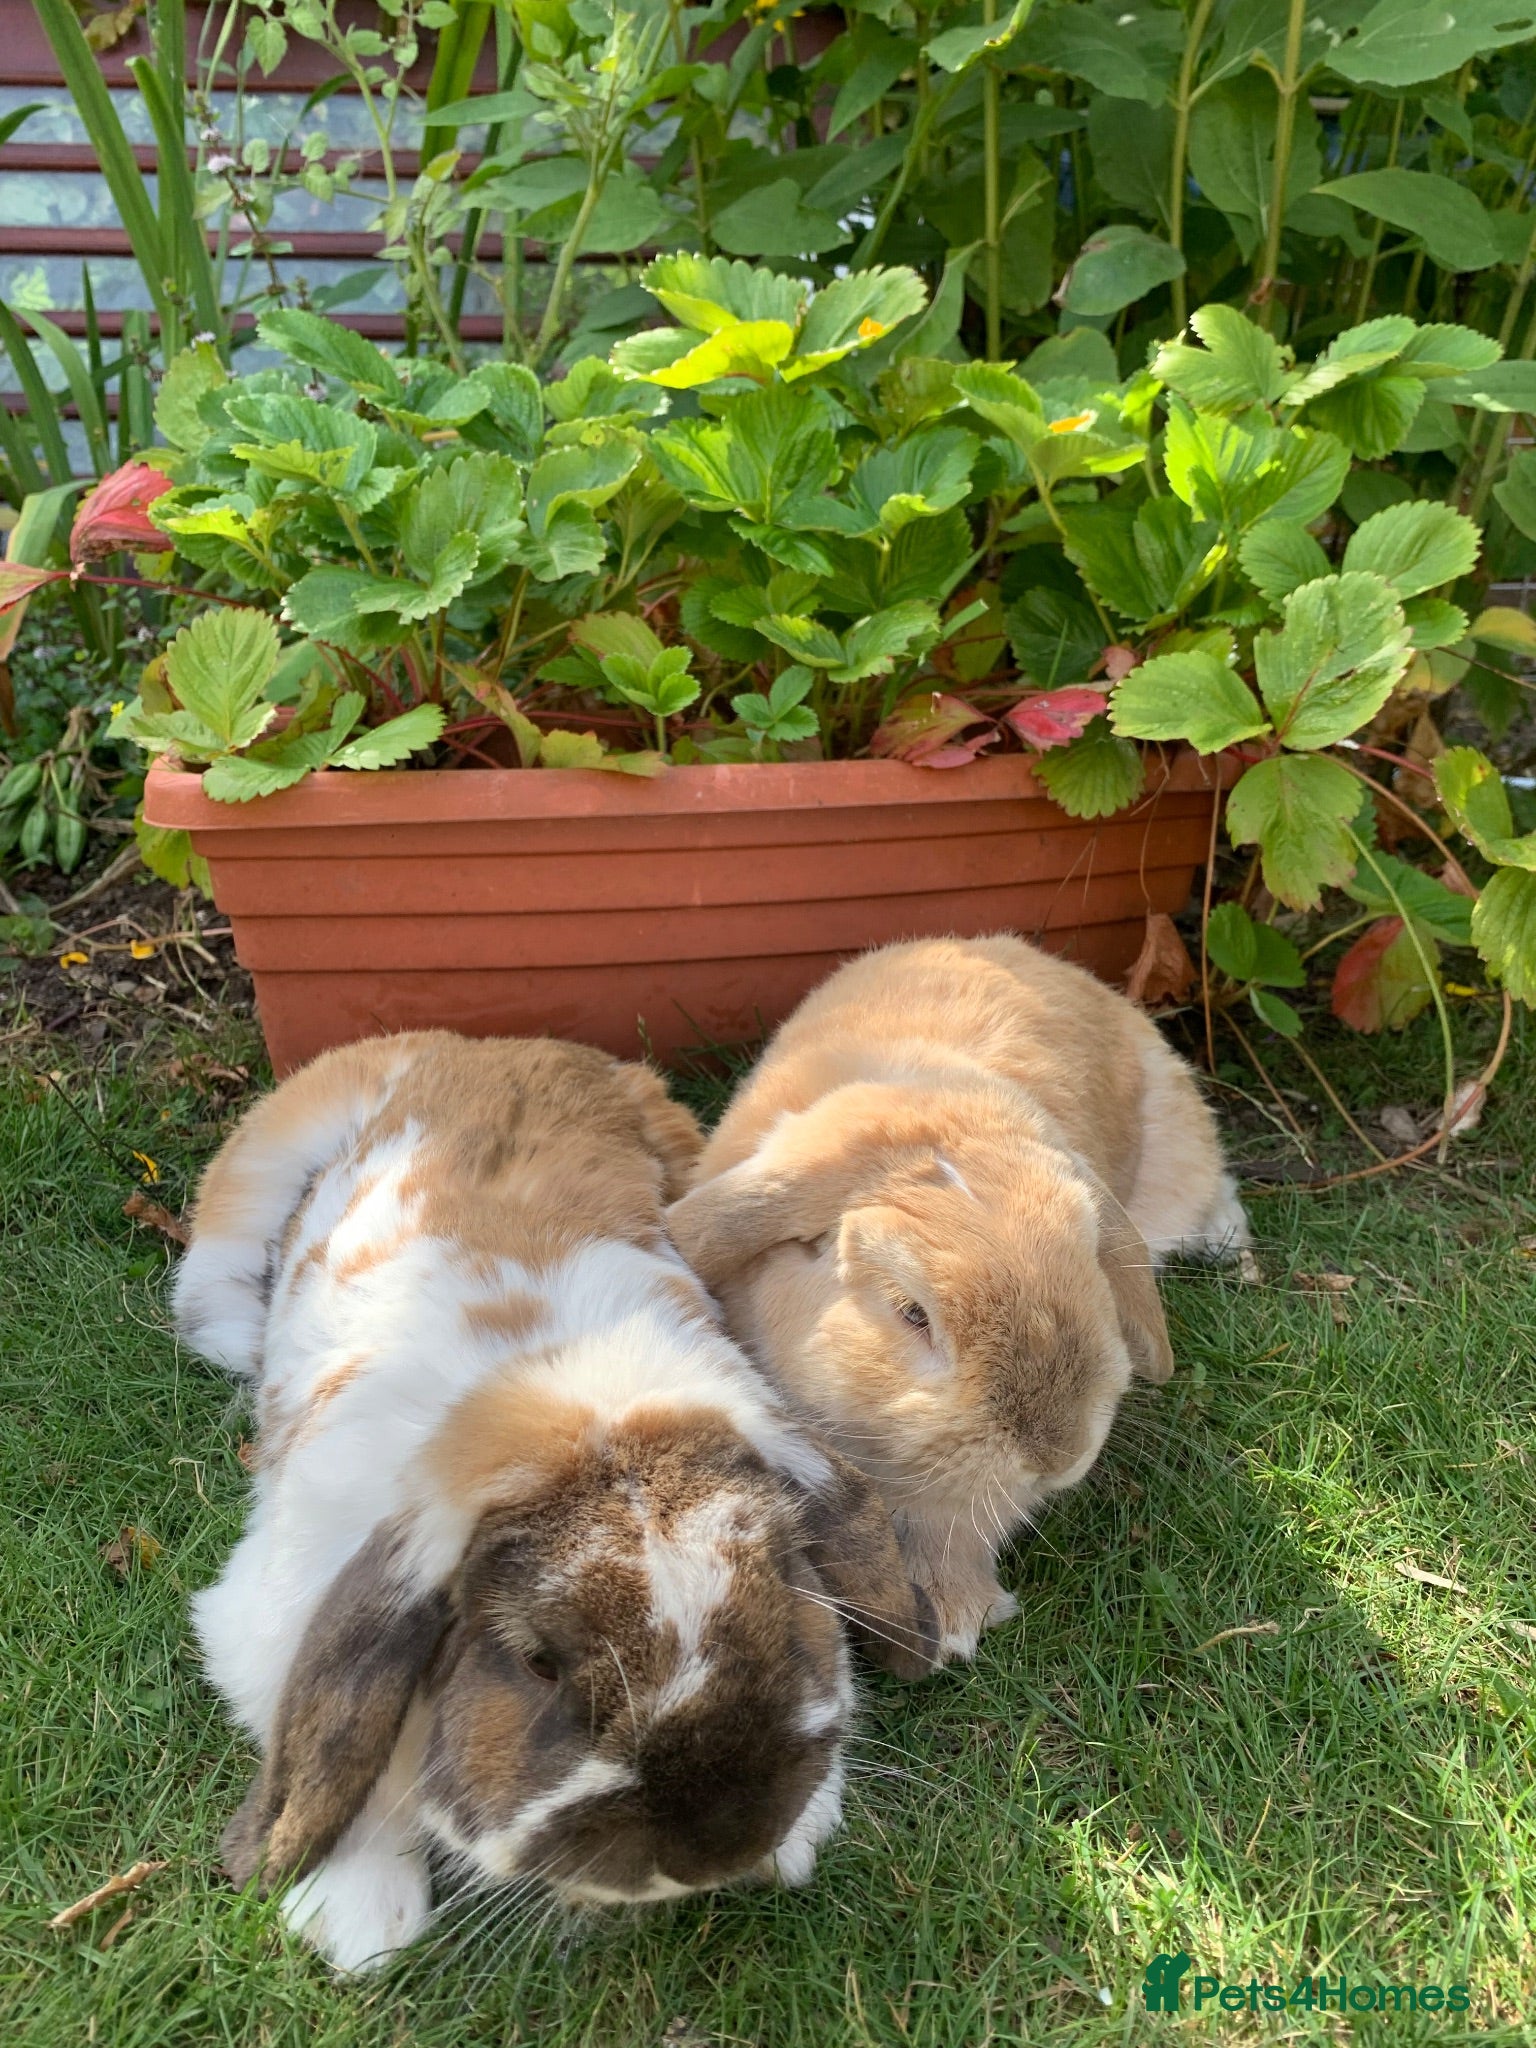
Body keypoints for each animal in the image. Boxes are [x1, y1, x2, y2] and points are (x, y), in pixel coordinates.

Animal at [174, 1031, 937, 1973]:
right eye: (538, 1663)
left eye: (788, 1590)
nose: (717, 1850)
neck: (566, 1421)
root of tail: (481, 1044)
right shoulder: (274, 1614)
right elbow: (356, 1765)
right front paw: (360, 1924)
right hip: (241, 1206)